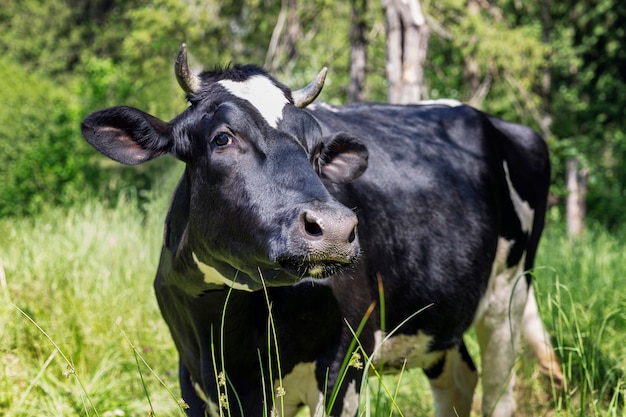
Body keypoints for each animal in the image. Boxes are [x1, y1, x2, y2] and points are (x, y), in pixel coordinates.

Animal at [80, 44, 564, 416]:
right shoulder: (193, 374)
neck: (230, 325)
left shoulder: (343, 362)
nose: (334, 228)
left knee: (498, 391)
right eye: (221, 138)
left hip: (507, 296)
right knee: (459, 382)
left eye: (316, 150)